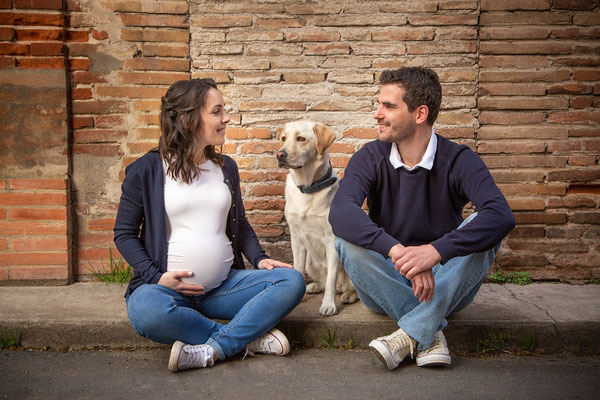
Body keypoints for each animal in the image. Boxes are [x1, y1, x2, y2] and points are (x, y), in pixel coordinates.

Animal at [276, 119, 356, 316]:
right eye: (283, 138)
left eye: (301, 138)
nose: (280, 154)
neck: (308, 188)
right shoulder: (296, 239)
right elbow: (297, 269)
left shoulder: (331, 240)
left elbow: (331, 280)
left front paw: (328, 305)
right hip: (310, 261)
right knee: (324, 280)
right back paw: (314, 286)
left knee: (350, 288)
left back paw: (348, 295)